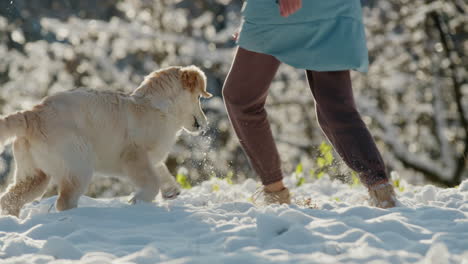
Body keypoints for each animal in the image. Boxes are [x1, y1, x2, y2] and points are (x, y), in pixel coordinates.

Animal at [0, 65, 212, 216]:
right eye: (198, 98)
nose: (205, 124)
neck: (157, 107)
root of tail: (33, 114)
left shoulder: (151, 159)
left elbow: (161, 171)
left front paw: (171, 191)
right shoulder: (134, 156)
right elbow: (152, 181)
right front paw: (137, 200)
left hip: (35, 175)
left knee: (11, 198)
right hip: (79, 165)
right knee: (64, 201)